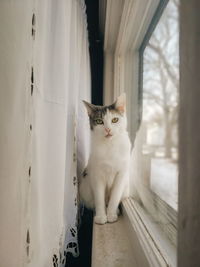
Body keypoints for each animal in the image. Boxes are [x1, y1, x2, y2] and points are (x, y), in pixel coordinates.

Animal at [79, 93, 131, 225]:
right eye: (99, 121)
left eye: (115, 120)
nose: (108, 129)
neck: (109, 145)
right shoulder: (97, 175)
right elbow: (99, 198)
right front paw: (101, 216)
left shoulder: (121, 174)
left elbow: (115, 196)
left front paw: (111, 214)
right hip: (85, 186)